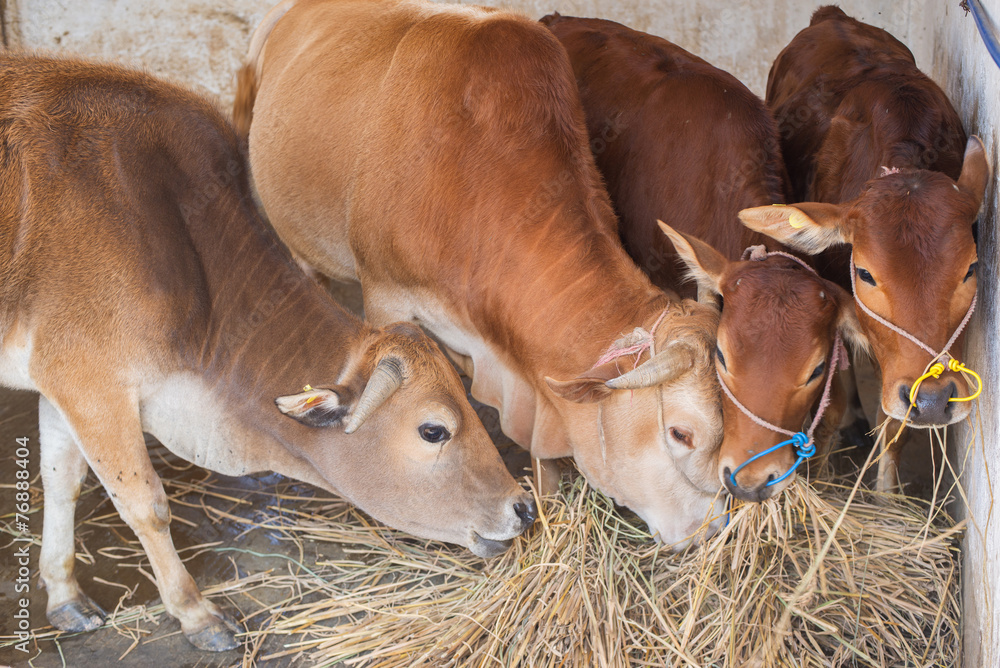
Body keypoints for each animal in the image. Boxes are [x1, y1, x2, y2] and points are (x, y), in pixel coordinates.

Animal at [0, 54, 536, 652]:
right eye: (433, 430)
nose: (522, 508)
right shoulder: (92, 382)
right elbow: (146, 505)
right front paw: (196, 614)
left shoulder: (62, 382)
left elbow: (61, 481)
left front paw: (64, 595)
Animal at [739, 6, 990, 491]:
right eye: (866, 274)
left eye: (970, 269)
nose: (933, 400)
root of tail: (831, 15)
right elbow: (835, 397)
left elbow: (895, 428)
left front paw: (886, 496)